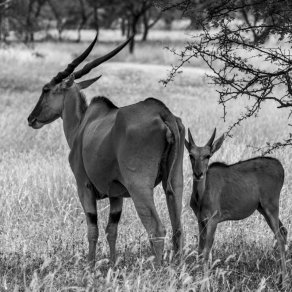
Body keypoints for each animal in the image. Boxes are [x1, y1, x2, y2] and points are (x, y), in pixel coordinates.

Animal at [28, 34, 186, 266]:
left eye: (46, 89)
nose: (31, 118)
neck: (83, 124)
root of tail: (162, 113)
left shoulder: (84, 187)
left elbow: (92, 229)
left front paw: (90, 265)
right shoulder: (116, 195)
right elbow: (112, 229)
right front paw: (112, 263)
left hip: (140, 188)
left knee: (157, 229)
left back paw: (158, 269)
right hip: (174, 183)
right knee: (177, 228)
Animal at [185, 129, 288, 286]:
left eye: (207, 156)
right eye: (191, 155)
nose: (198, 174)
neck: (201, 196)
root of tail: (280, 167)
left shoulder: (213, 220)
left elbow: (206, 252)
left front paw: (205, 285)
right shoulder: (201, 221)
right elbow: (200, 251)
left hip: (271, 207)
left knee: (280, 238)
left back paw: (284, 282)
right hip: (263, 210)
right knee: (283, 231)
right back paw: (281, 278)